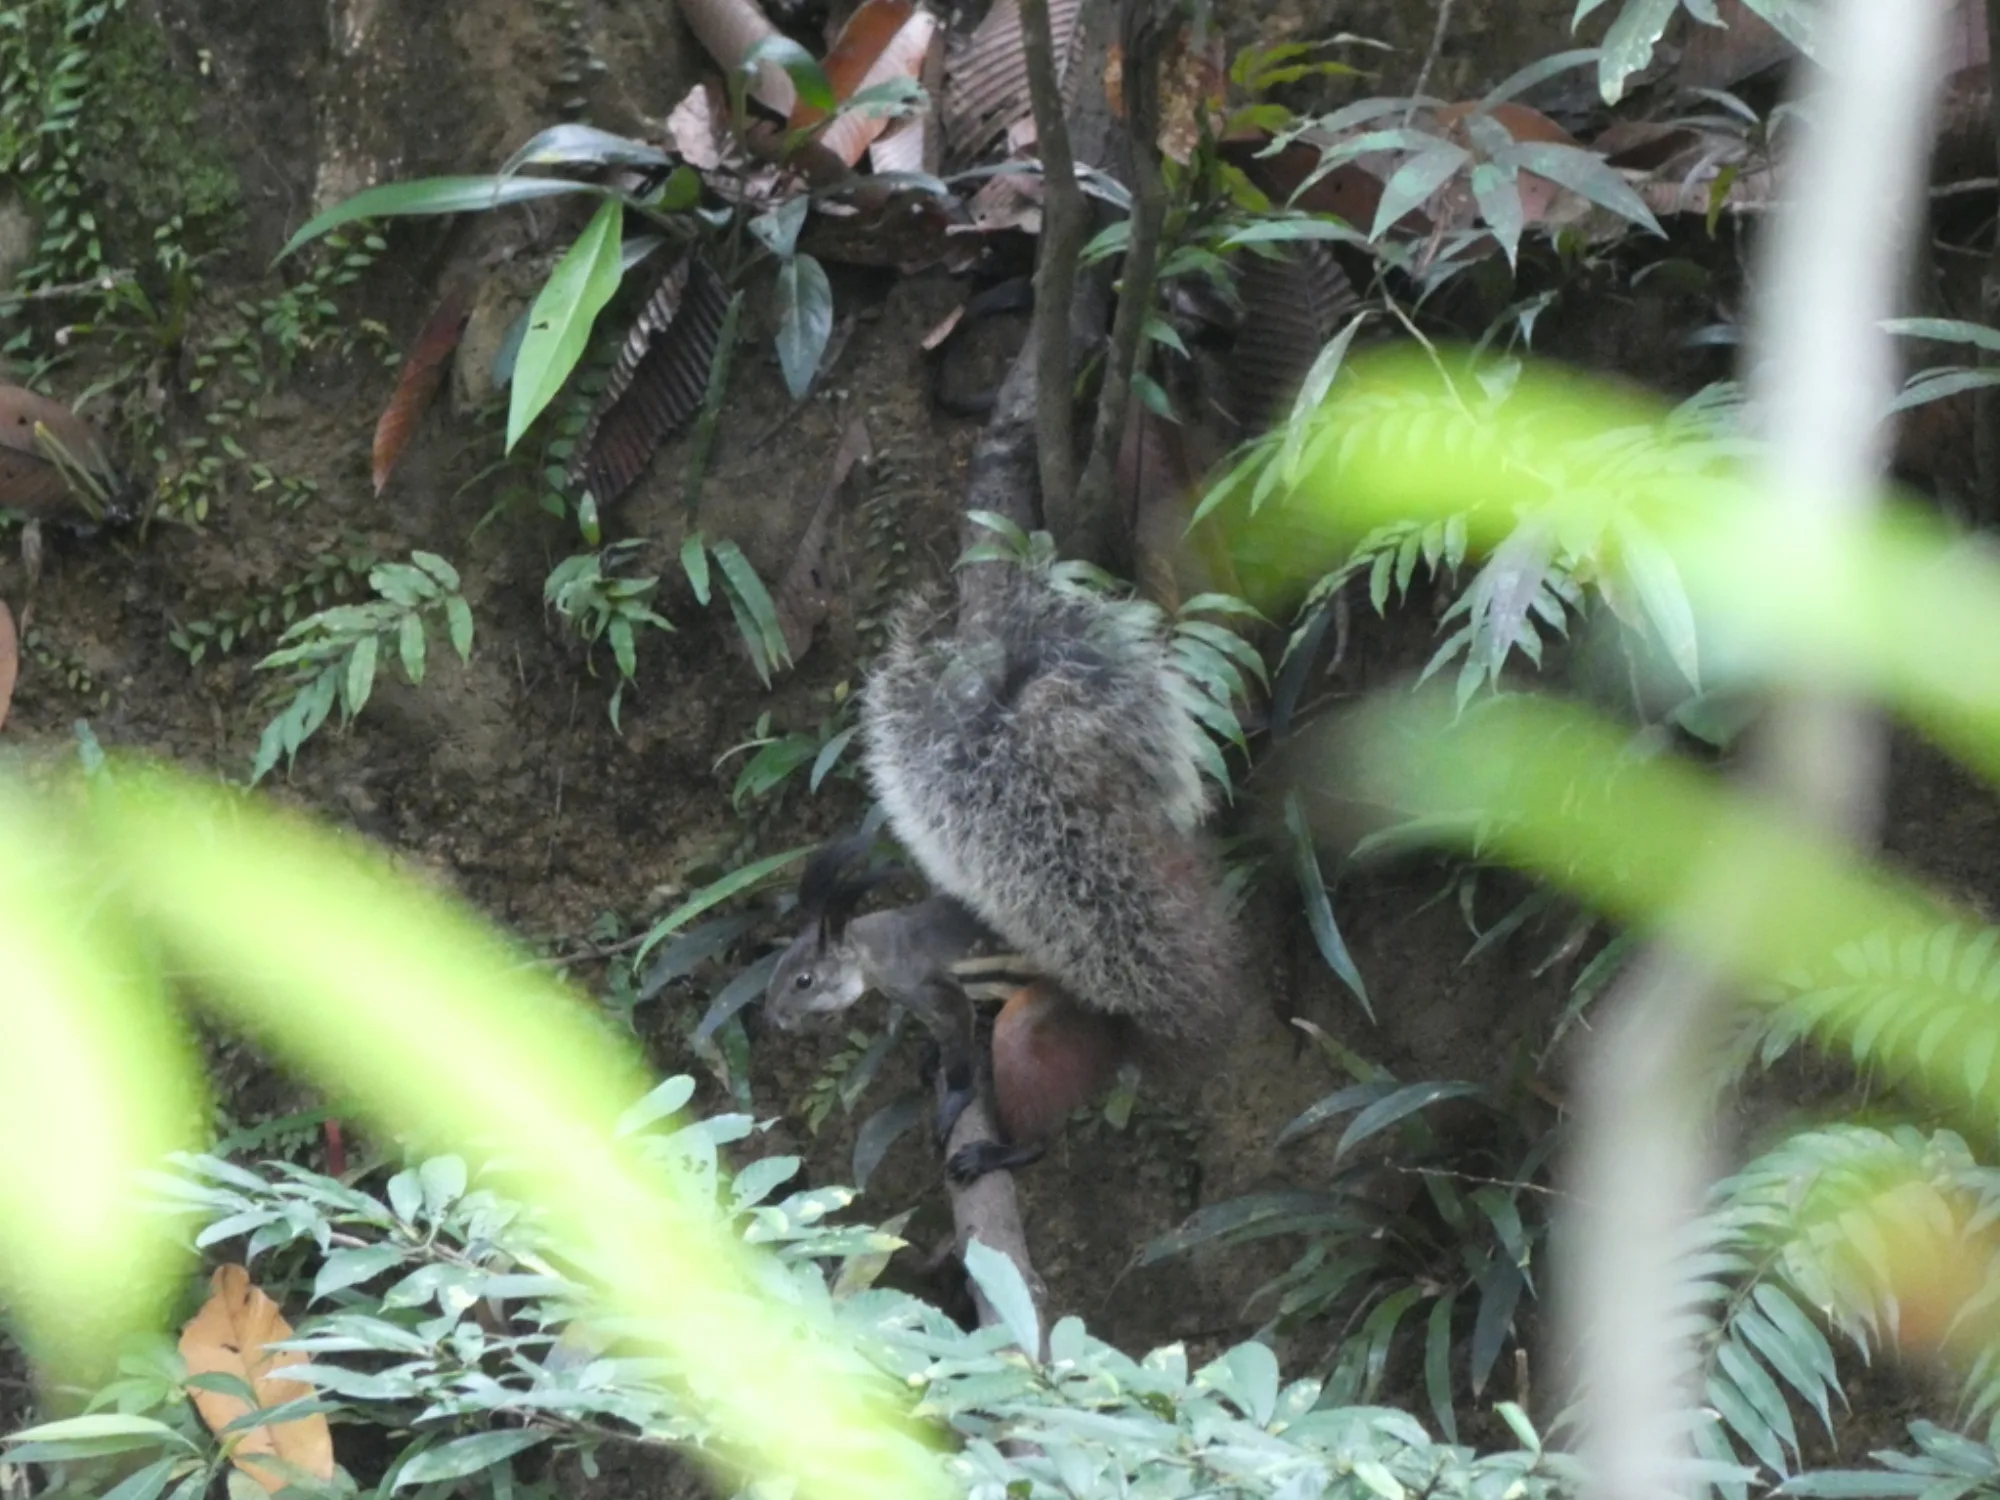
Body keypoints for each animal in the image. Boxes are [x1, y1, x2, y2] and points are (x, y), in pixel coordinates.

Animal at [765, 557, 1245, 1181]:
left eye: (804, 980)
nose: (774, 1018)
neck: (876, 948)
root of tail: (1124, 1027)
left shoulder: (932, 988)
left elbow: (959, 1043)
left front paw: (953, 1097)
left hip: (1033, 1032)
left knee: (1036, 1122)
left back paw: (1000, 1150)